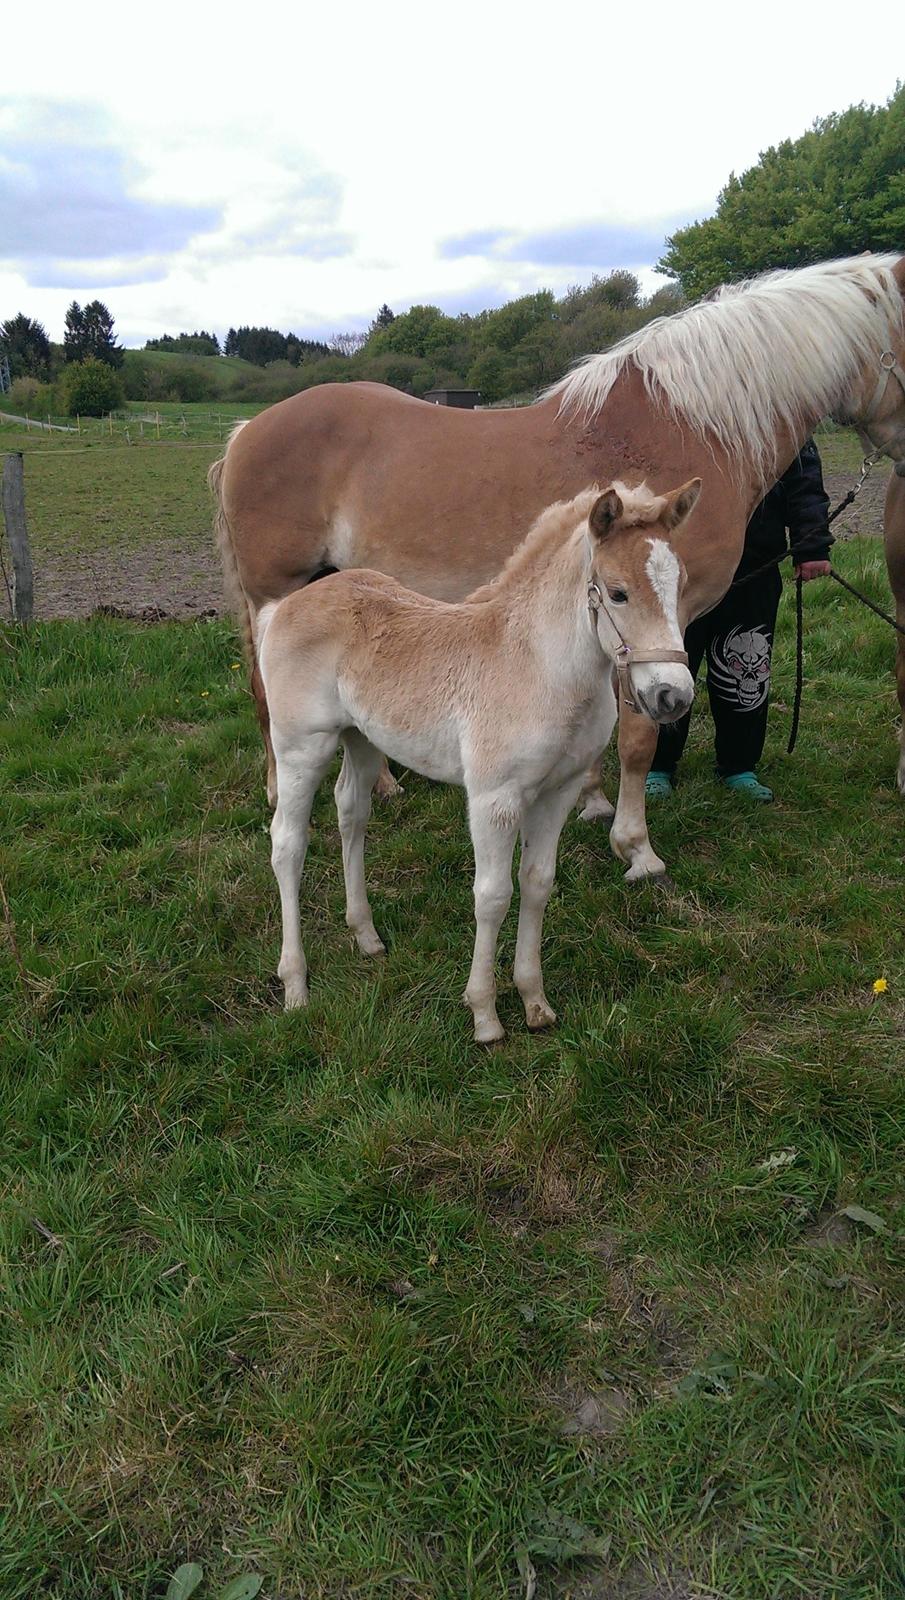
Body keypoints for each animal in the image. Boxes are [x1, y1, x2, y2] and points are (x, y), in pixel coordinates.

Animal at [259, 480, 700, 1043]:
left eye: (680, 583)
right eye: (618, 592)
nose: (673, 696)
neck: (538, 666)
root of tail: (283, 607)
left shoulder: (558, 792)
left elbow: (537, 883)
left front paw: (534, 1001)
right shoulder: (496, 800)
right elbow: (492, 896)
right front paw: (485, 1015)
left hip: (361, 739)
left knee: (350, 815)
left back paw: (367, 936)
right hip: (301, 747)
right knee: (288, 844)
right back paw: (295, 984)